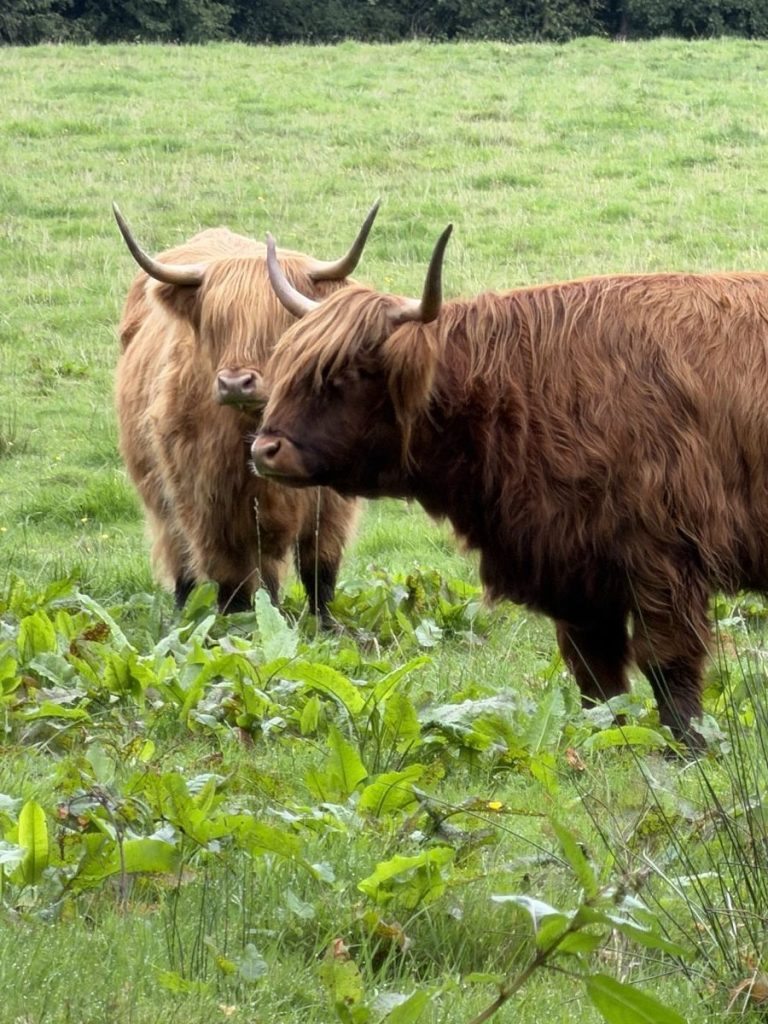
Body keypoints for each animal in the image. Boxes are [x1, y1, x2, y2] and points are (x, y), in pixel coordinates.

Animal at [113, 203, 378, 621]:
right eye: (216, 323)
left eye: (278, 322)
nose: (236, 383)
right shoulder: (212, 506)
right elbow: (231, 580)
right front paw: (237, 626)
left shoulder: (331, 505)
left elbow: (320, 569)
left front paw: (327, 624)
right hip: (163, 496)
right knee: (183, 560)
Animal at [251, 224, 768, 746]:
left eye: (348, 373)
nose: (264, 449)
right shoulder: (577, 568)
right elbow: (596, 674)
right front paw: (602, 739)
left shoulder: (663, 557)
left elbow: (668, 662)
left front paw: (687, 747)